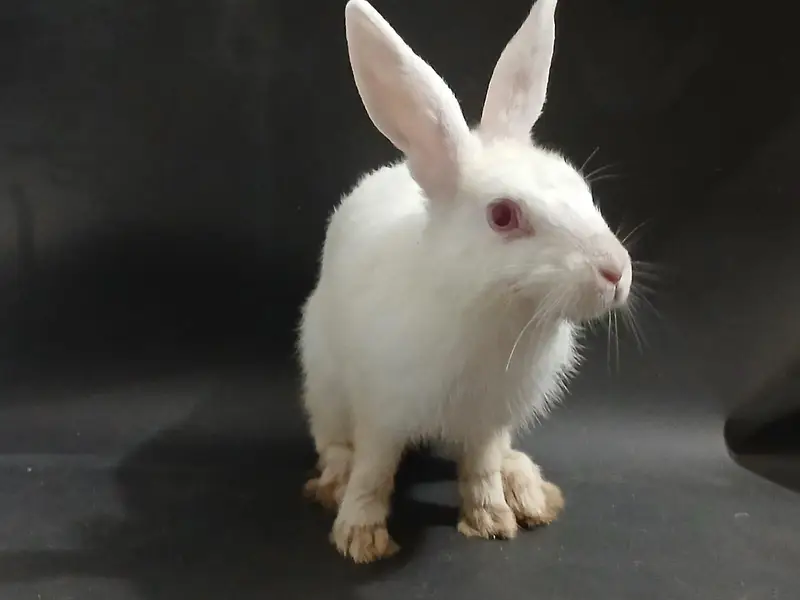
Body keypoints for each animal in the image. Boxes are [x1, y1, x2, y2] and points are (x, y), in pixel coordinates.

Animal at [298, 0, 632, 564]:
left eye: (582, 189)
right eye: (502, 216)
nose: (617, 272)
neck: (493, 312)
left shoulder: (487, 420)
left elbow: (480, 468)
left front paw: (491, 520)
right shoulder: (383, 409)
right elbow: (374, 470)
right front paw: (361, 537)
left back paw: (527, 488)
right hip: (322, 378)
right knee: (335, 444)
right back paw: (333, 482)